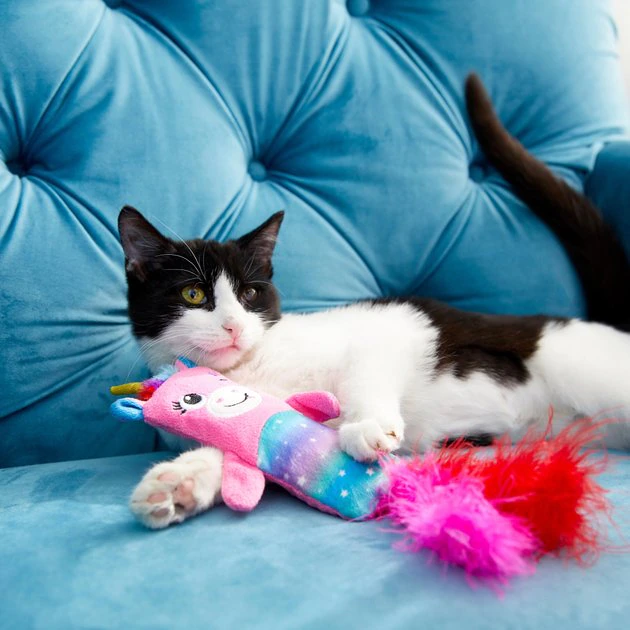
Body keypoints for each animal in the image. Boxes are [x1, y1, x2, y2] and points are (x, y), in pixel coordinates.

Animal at [121, 75, 630, 528]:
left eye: (249, 294)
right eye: (193, 294)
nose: (233, 326)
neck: (250, 370)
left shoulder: (395, 323)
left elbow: (365, 372)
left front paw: (367, 426)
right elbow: (243, 442)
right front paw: (180, 483)